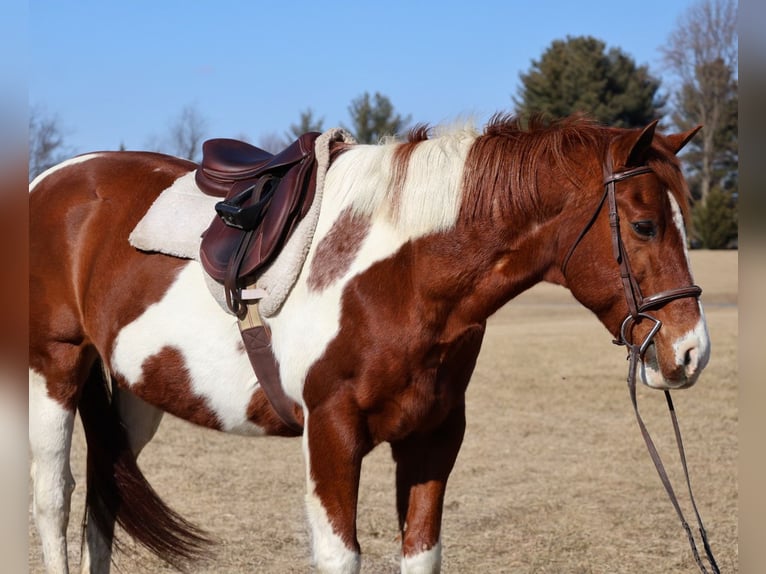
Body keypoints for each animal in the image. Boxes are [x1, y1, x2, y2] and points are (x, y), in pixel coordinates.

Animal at [30, 113, 712, 574]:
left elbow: (422, 553)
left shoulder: (433, 439)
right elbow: (342, 554)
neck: (403, 275)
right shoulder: (332, 434)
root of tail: (48, 182)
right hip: (55, 368)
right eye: (645, 225)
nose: (691, 353)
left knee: (105, 495)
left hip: (137, 393)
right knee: (54, 497)